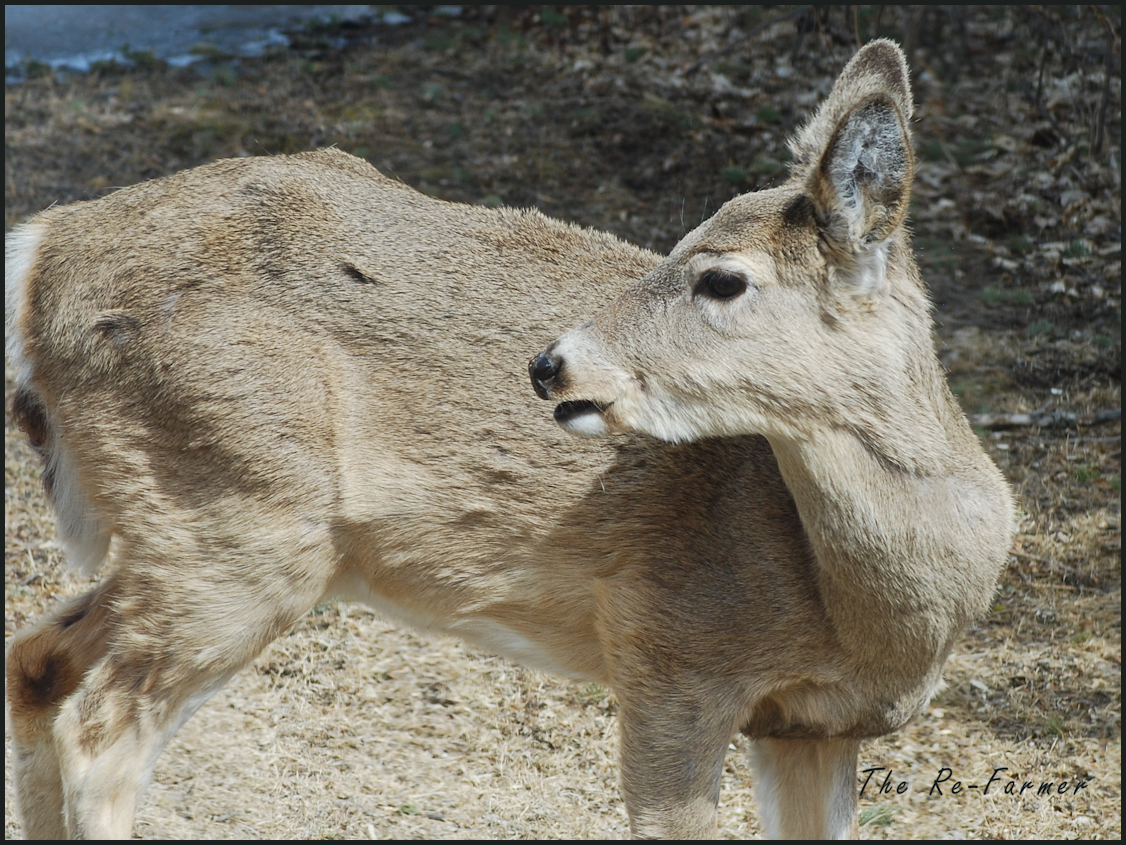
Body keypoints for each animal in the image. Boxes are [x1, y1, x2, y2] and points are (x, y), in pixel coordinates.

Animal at [5, 40, 1012, 839]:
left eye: (722, 278)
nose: (550, 364)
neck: (865, 609)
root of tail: (42, 253)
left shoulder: (816, 725)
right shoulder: (670, 653)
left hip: (191, 526)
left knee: (38, 659)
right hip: (235, 515)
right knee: (100, 730)